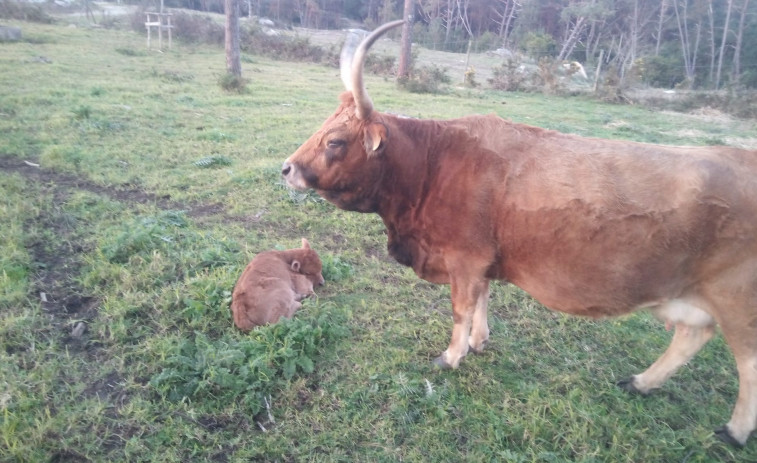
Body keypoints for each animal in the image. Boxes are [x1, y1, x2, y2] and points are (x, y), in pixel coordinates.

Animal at [282, 20, 756, 448]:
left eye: (336, 141)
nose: (287, 168)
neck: (432, 165)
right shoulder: (483, 260)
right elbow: (483, 300)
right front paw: (479, 341)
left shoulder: (465, 259)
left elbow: (461, 308)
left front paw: (452, 355)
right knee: (692, 336)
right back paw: (642, 382)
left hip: (737, 300)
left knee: (745, 360)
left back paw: (735, 431)